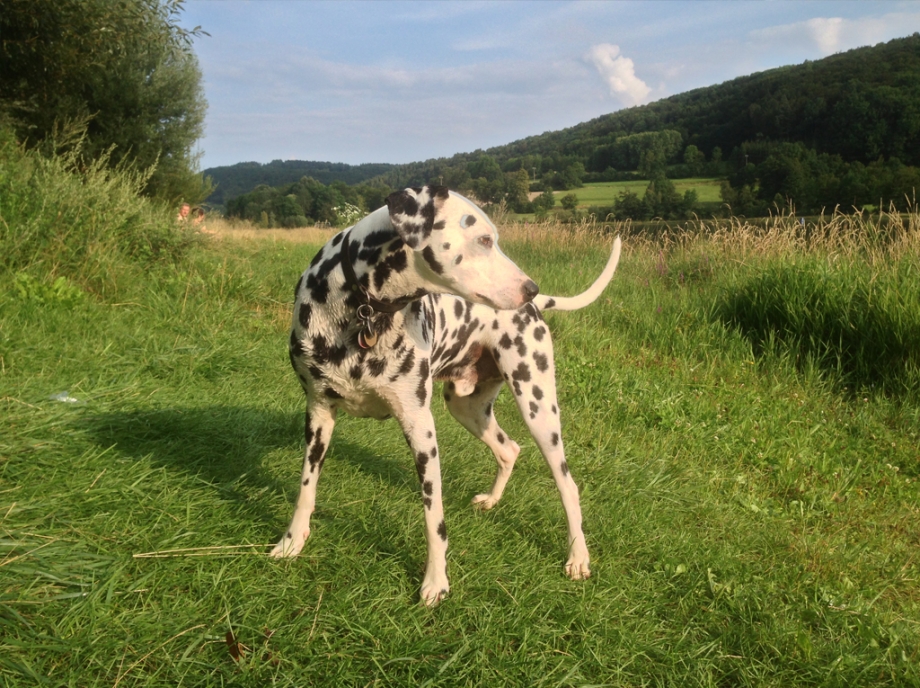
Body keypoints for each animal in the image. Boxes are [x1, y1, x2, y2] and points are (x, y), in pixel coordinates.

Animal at [274, 185, 620, 604]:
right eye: (484, 240)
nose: (531, 288)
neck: (362, 309)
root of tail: (536, 308)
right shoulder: (318, 415)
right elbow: (305, 489)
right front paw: (292, 541)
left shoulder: (421, 429)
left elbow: (433, 519)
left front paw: (436, 580)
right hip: (467, 408)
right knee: (509, 449)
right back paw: (493, 500)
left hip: (539, 410)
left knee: (568, 486)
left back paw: (577, 556)